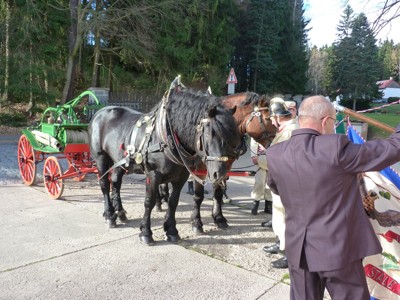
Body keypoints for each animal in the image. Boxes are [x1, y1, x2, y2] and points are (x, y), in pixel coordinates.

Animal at [89, 85, 242, 245]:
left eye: (232, 134)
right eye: (210, 132)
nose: (221, 174)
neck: (165, 136)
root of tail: (99, 113)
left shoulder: (181, 176)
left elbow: (173, 202)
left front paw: (172, 230)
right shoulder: (153, 175)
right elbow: (149, 202)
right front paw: (146, 232)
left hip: (120, 162)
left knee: (116, 183)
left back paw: (120, 212)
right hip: (101, 159)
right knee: (105, 185)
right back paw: (109, 215)